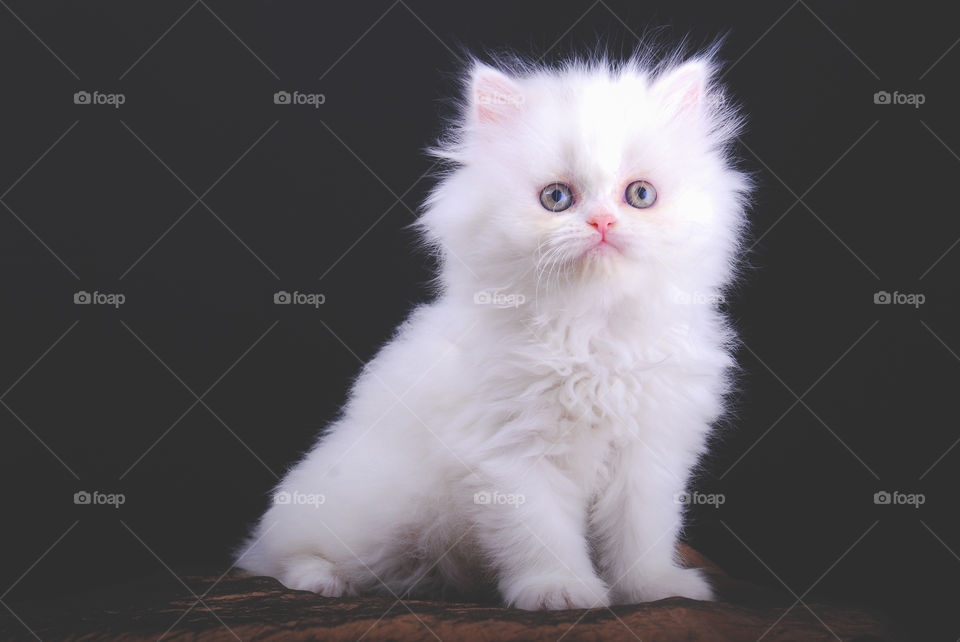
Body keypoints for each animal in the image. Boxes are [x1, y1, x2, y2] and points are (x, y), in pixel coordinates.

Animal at [238, 48, 752, 604]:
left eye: (639, 195)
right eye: (556, 198)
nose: (602, 224)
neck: (590, 328)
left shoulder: (649, 456)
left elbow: (641, 535)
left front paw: (656, 589)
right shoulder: (511, 454)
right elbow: (541, 534)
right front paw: (561, 591)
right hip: (360, 513)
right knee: (275, 553)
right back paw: (322, 581)